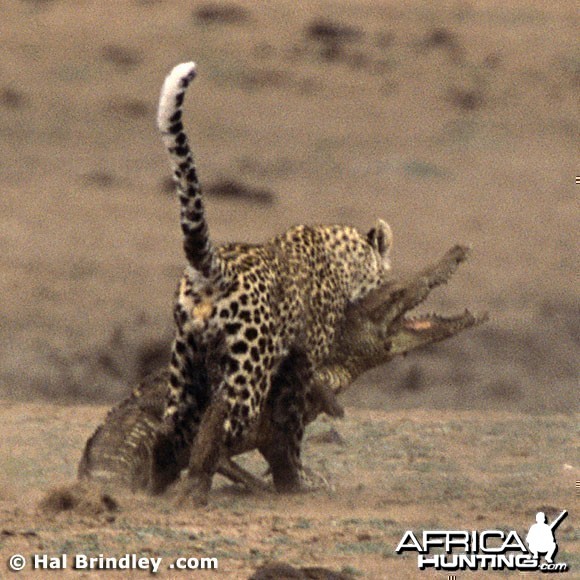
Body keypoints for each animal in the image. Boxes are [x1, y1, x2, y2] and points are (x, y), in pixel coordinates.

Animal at [156, 60, 392, 502]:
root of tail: (214, 268)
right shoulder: (302, 361)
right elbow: (292, 424)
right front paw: (295, 477)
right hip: (249, 365)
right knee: (225, 419)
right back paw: (208, 477)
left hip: (185, 358)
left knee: (176, 421)